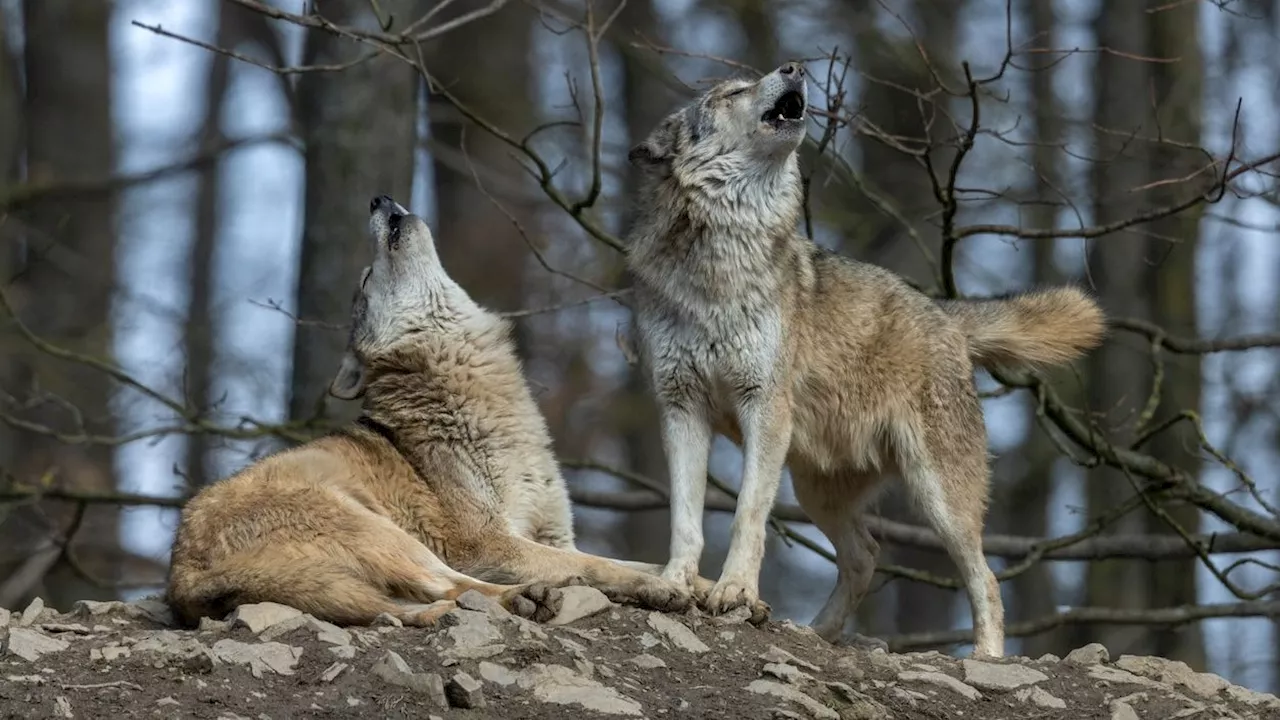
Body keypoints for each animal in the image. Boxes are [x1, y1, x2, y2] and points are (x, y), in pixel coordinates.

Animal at [166, 193, 706, 625]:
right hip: (382, 531)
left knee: (409, 604)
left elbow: (631, 561)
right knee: (457, 587)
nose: (378, 198)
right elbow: (600, 565)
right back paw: (527, 597)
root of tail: (181, 576)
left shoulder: (556, 536)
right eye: (367, 278)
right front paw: (658, 587)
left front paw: (696, 584)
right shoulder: (490, 543)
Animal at [624, 63, 1105, 655]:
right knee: (866, 556)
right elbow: (685, 519)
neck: (719, 261)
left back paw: (986, 658)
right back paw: (815, 633)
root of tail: (946, 314)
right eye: (733, 92)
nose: (794, 66)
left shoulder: (764, 408)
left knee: (985, 579)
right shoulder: (680, 408)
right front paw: (673, 584)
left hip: (938, 497)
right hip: (817, 491)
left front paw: (734, 592)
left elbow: (747, 515)